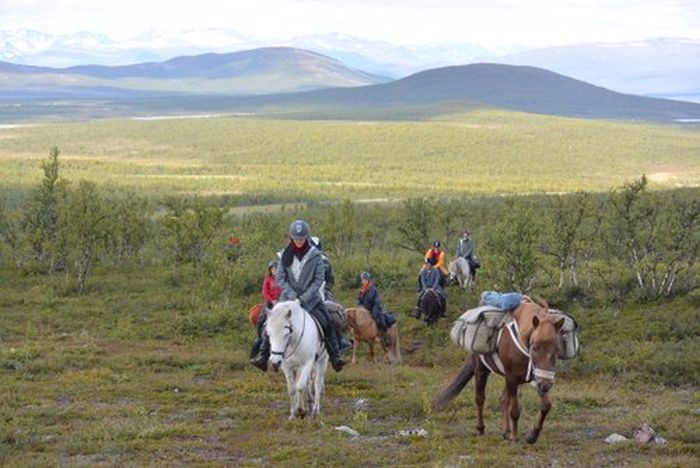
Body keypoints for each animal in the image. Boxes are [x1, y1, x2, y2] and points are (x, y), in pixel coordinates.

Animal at [434, 298, 568, 444]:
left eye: (557, 348)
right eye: (535, 347)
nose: (546, 386)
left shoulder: (536, 377)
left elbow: (545, 406)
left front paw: (533, 435)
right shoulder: (513, 378)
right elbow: (514, 410)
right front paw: (515, 437)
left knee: (503, 400)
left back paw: (506, 431)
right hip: (482, 370)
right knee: (480, 399)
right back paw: (481, 429)